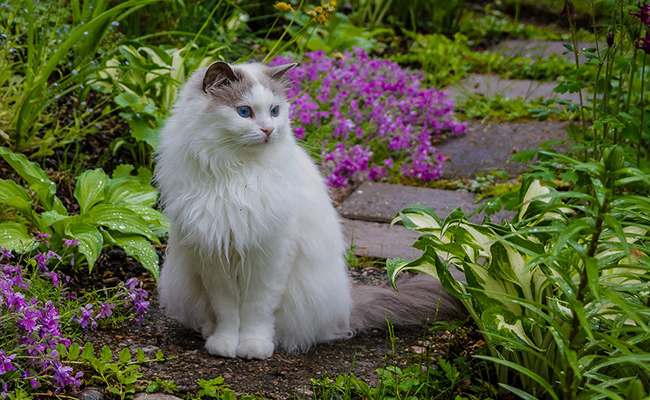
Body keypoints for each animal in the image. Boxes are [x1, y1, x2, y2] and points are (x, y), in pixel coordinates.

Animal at [154, 60, 464, 360]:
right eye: (244, 112)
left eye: (274, 111)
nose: (268, 130)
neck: (238, 175)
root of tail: (346, 308)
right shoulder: (215, 255)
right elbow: (227, 312)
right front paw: (225, 345)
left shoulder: (271, 256)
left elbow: (257, 311)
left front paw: (254, 347)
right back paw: (209, 331)